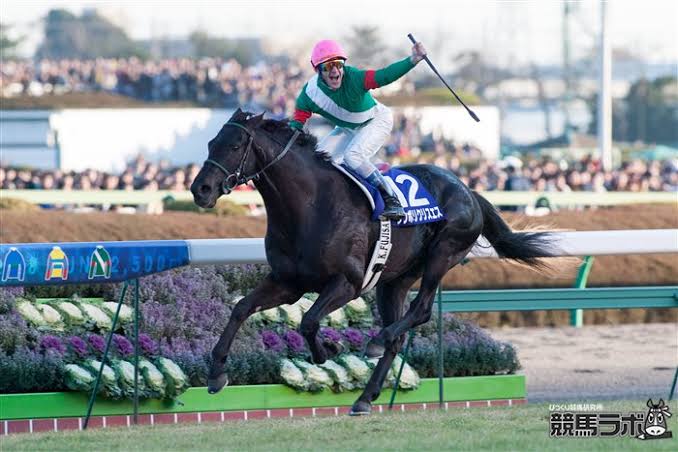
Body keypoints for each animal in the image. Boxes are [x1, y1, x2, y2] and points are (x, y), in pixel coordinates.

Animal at [191, 108, 555, 415]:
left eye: (235, 144)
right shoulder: (287, 282)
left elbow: (308, 321)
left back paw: (376, 342)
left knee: (419, 311)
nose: (200, 189)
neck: (311, 206)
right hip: (394, 280)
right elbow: (240, 308)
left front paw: (327, 350)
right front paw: (216, 374)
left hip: (444, 252)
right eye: (210, 143)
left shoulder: (348, 282)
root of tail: (468, 190)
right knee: (398, 335)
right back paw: (365, 396)